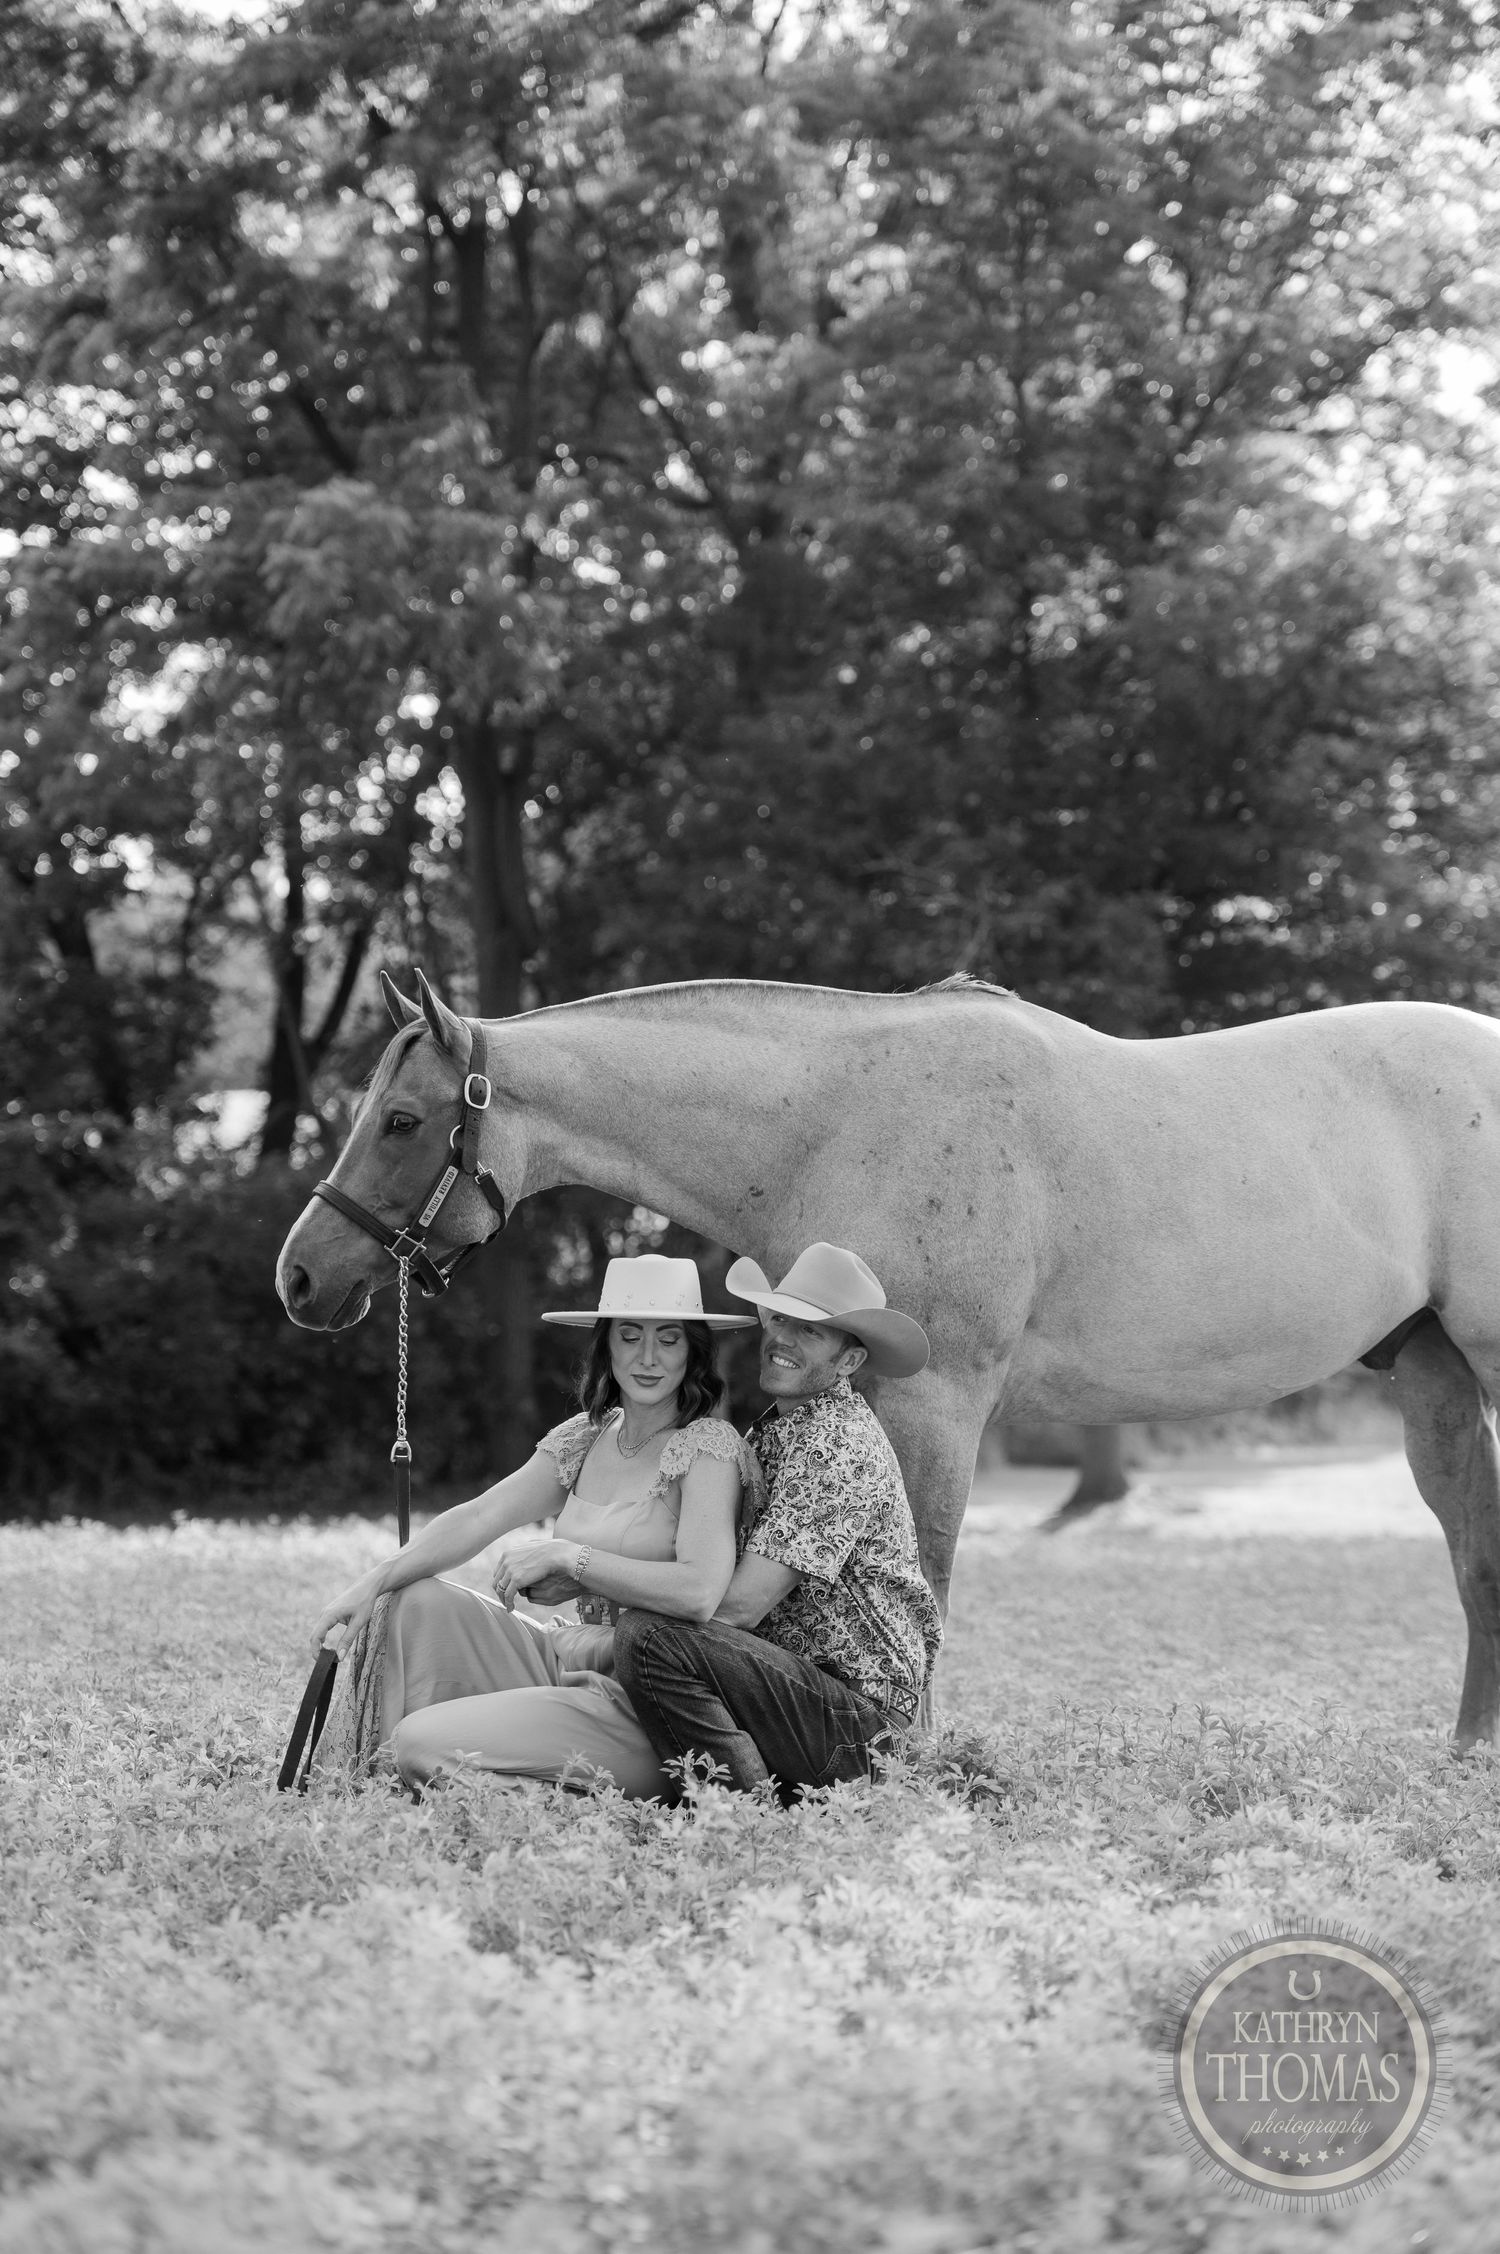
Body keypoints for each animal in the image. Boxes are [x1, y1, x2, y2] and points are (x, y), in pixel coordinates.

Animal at [276, 968, 1500, 1746]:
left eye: (401, 1119)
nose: (299, 1277)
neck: (831, 1119)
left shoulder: (936, 1400)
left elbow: (929, 1585)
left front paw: (909, 1756)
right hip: (1432, 1374)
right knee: (1475, 1558)